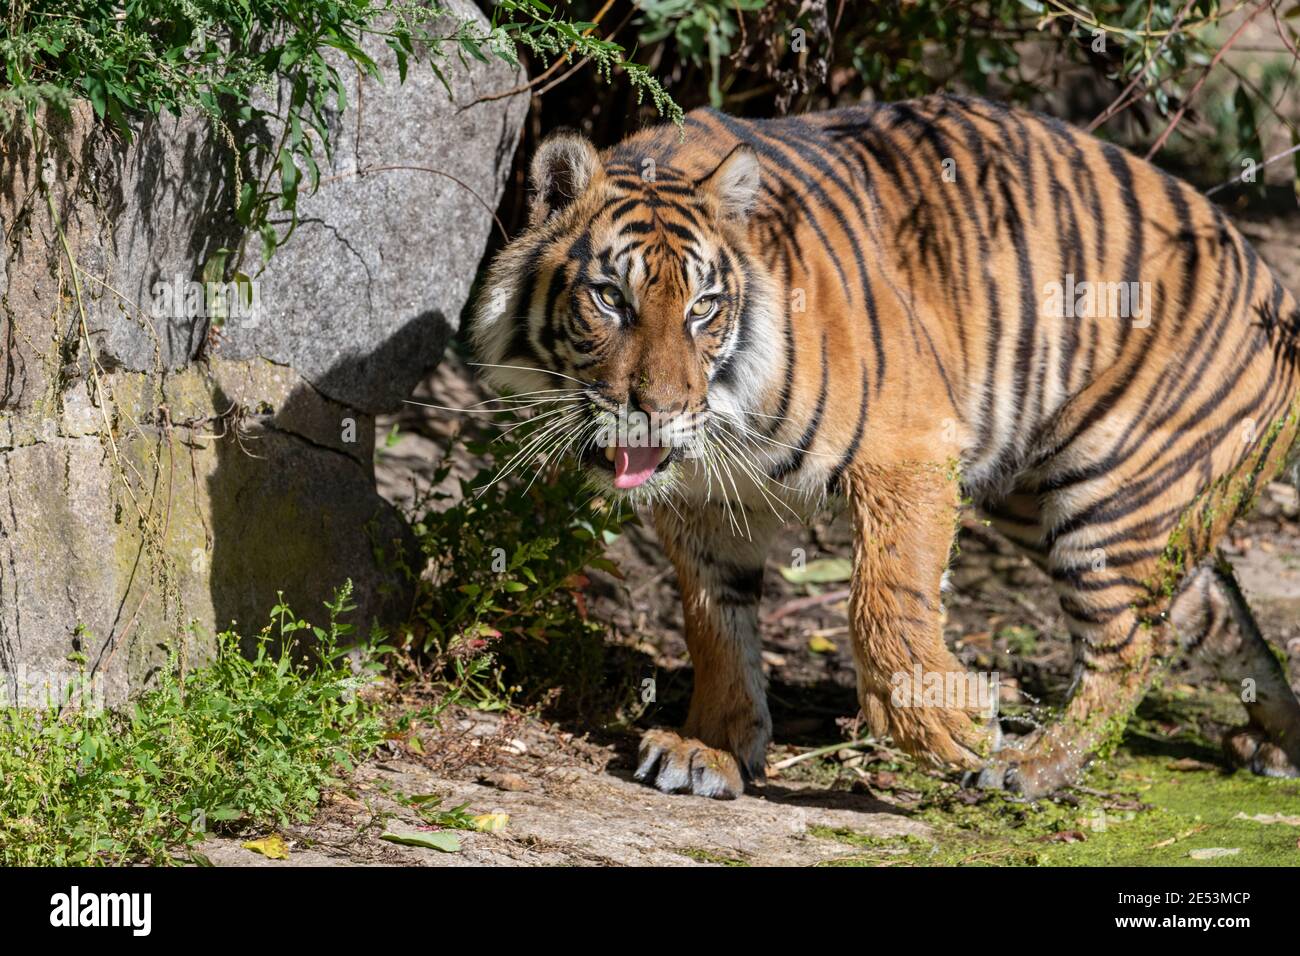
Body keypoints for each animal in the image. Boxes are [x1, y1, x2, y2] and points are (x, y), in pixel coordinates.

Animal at [470, 97, 1300, 801]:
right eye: (611, 298)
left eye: (703, 308)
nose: (662, 412)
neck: (727, 413)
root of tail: (1277, 287)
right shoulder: (708, 503)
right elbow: (716, 624)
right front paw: (712, 748)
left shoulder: (908, 450)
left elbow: (884, 601)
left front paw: (956, 726)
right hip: (1053, 503)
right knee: (1207, 615)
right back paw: (1278, 741)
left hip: (1106, 497)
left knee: (1129, 647)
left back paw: (1029, 767)